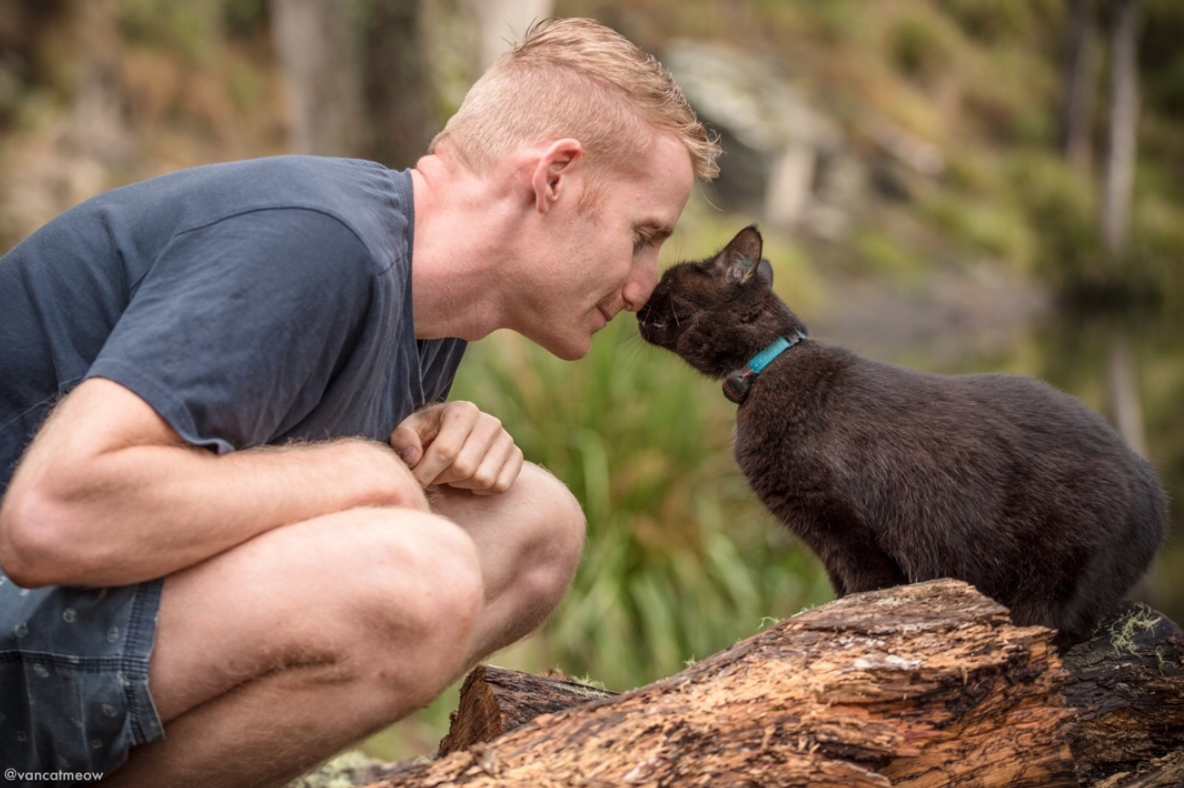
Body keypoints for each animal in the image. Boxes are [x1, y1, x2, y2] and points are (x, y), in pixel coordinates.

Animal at [639, 223, 1165, 648]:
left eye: (666, 283)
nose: (640, 304)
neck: (766, 369)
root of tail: (1155, 495)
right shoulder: (824, 541)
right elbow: (844, 591)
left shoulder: (847, 527)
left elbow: (868, 589)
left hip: (1051, 579)